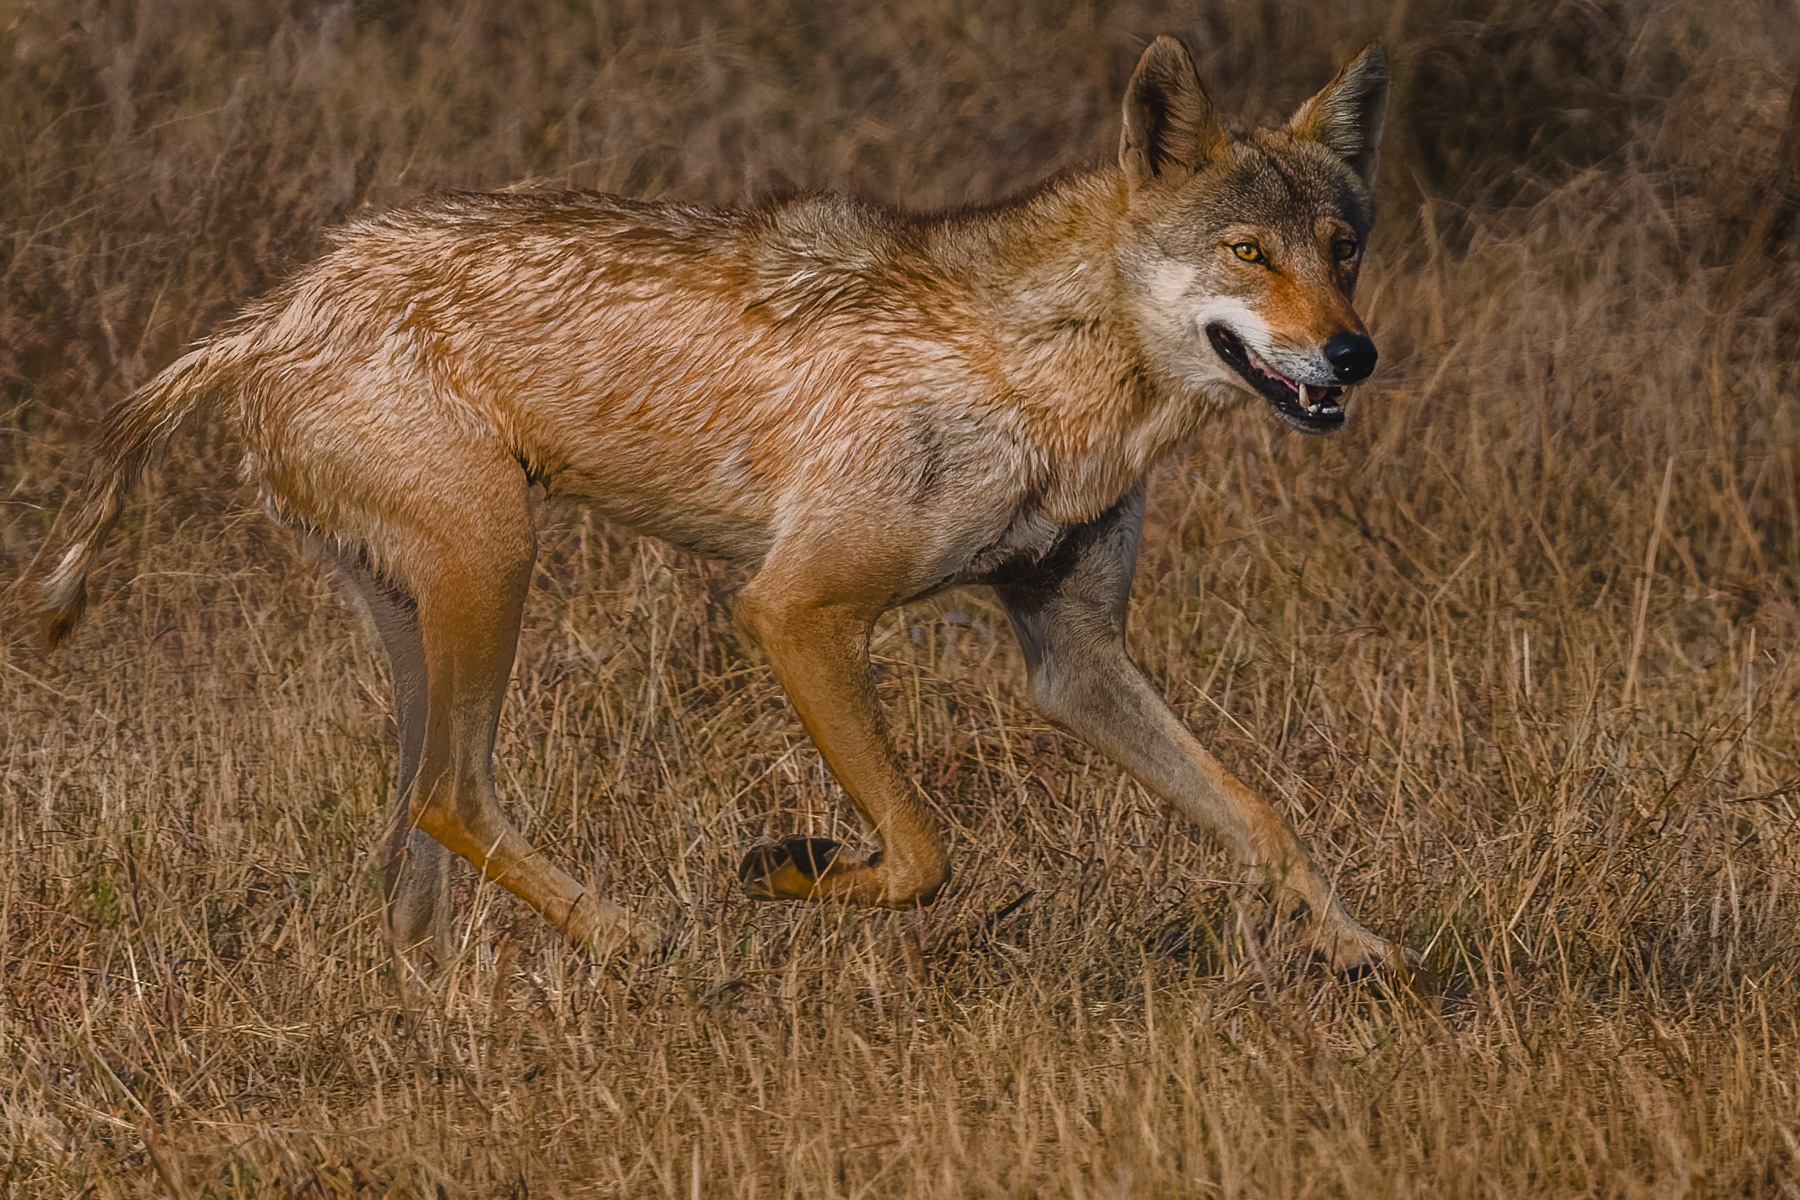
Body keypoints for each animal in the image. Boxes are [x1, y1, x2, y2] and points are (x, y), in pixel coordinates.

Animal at [22, 36, 1417, 986]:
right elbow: (925, 852)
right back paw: (644, 943)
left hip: (429, 609)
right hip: (497, 562)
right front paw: (789, 867)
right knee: (453, 796)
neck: (1048, 374)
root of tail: (277, 308)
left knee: (415, 834)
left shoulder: (1073, 656)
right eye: (1249, 254)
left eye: (1343, 248)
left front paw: (1368, 954)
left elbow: (1259, 816)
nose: (1352, 358)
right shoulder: (796, 608)